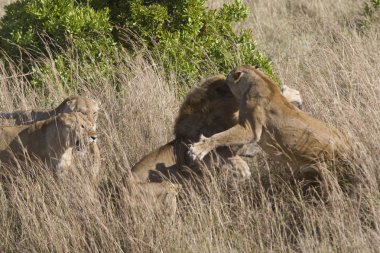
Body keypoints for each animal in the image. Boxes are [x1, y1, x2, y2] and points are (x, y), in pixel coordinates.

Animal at [190, 65, 354, 188]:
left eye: (229, 74)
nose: (223, 78)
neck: (258, 78)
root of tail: (349, 146)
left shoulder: (250, 129)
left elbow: (222, 136)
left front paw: (199, 148)